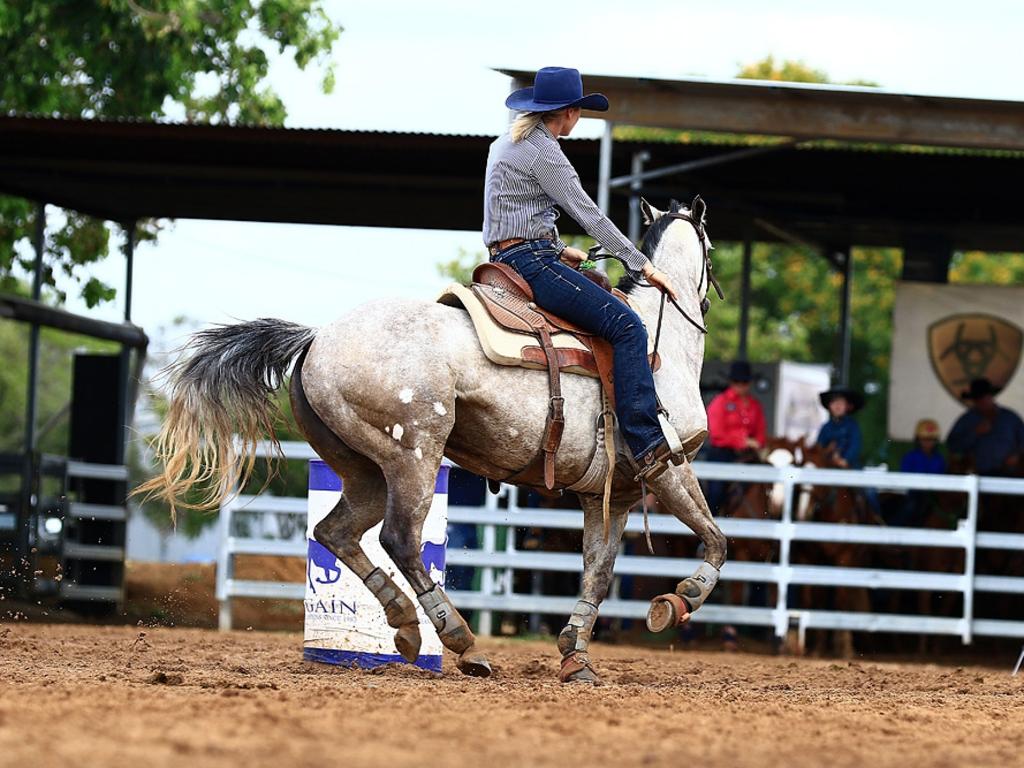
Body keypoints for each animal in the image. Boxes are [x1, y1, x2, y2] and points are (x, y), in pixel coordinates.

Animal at [140, 198, 724, 684]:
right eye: (712, 251)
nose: (706, 301)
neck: (658, 344)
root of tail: (317, 338)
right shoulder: (669, 468)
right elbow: (716, 539)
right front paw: (679, 600)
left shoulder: (611, 494)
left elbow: (597, 574)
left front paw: (574, 655)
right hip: (415, 456)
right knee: (399, 538)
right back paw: (460, 641)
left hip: (364, 471)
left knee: (336, 532)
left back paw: (404, 625)